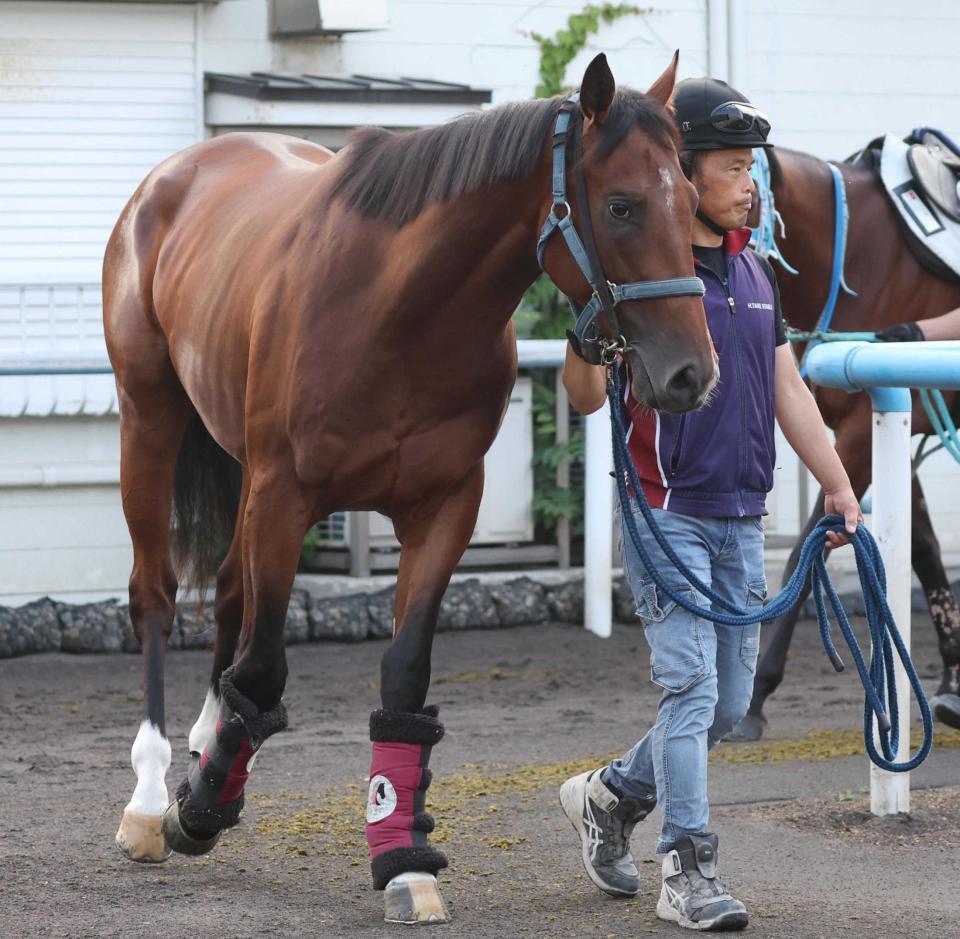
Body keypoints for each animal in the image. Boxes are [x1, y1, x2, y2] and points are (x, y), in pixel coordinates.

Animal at [109, 53, 716, 924]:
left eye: (694, 204)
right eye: (623, 205)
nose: (692, 374)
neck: (396, 309)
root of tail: (178, 171)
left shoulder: (444, 507)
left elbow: (403, 671)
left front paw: (401, 858)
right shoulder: (285, 494)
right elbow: (263, 670)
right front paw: (199, 809)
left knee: (226, 590)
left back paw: (206, 744)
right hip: (150, 416)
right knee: (156, 596)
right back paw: (154, 795)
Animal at [728, 143, 960, 740]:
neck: (857, 253)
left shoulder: (860, 430)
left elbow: (808, 547)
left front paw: (756, 695)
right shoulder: (886, 423)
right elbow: (923, 547)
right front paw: (953, 681)